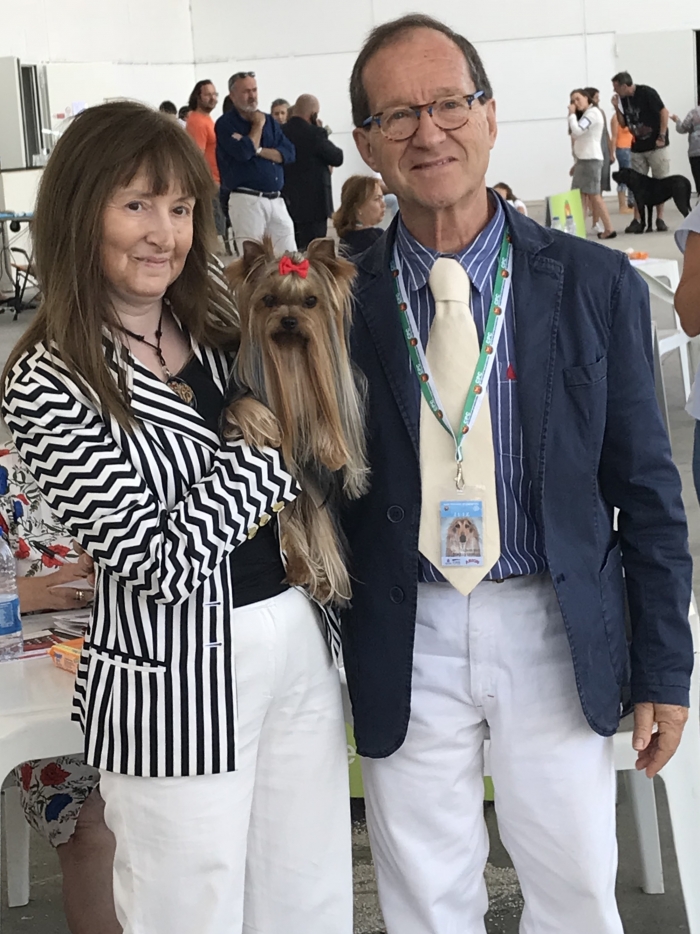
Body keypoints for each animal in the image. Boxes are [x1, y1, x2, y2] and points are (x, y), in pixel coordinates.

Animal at [223, 237, 369, 606]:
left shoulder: (314, 478)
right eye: (269, 300)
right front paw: (266, 424)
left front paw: (332, 449)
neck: (293, 364)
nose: (289, 320)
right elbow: (242, 408)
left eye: (311, 301)